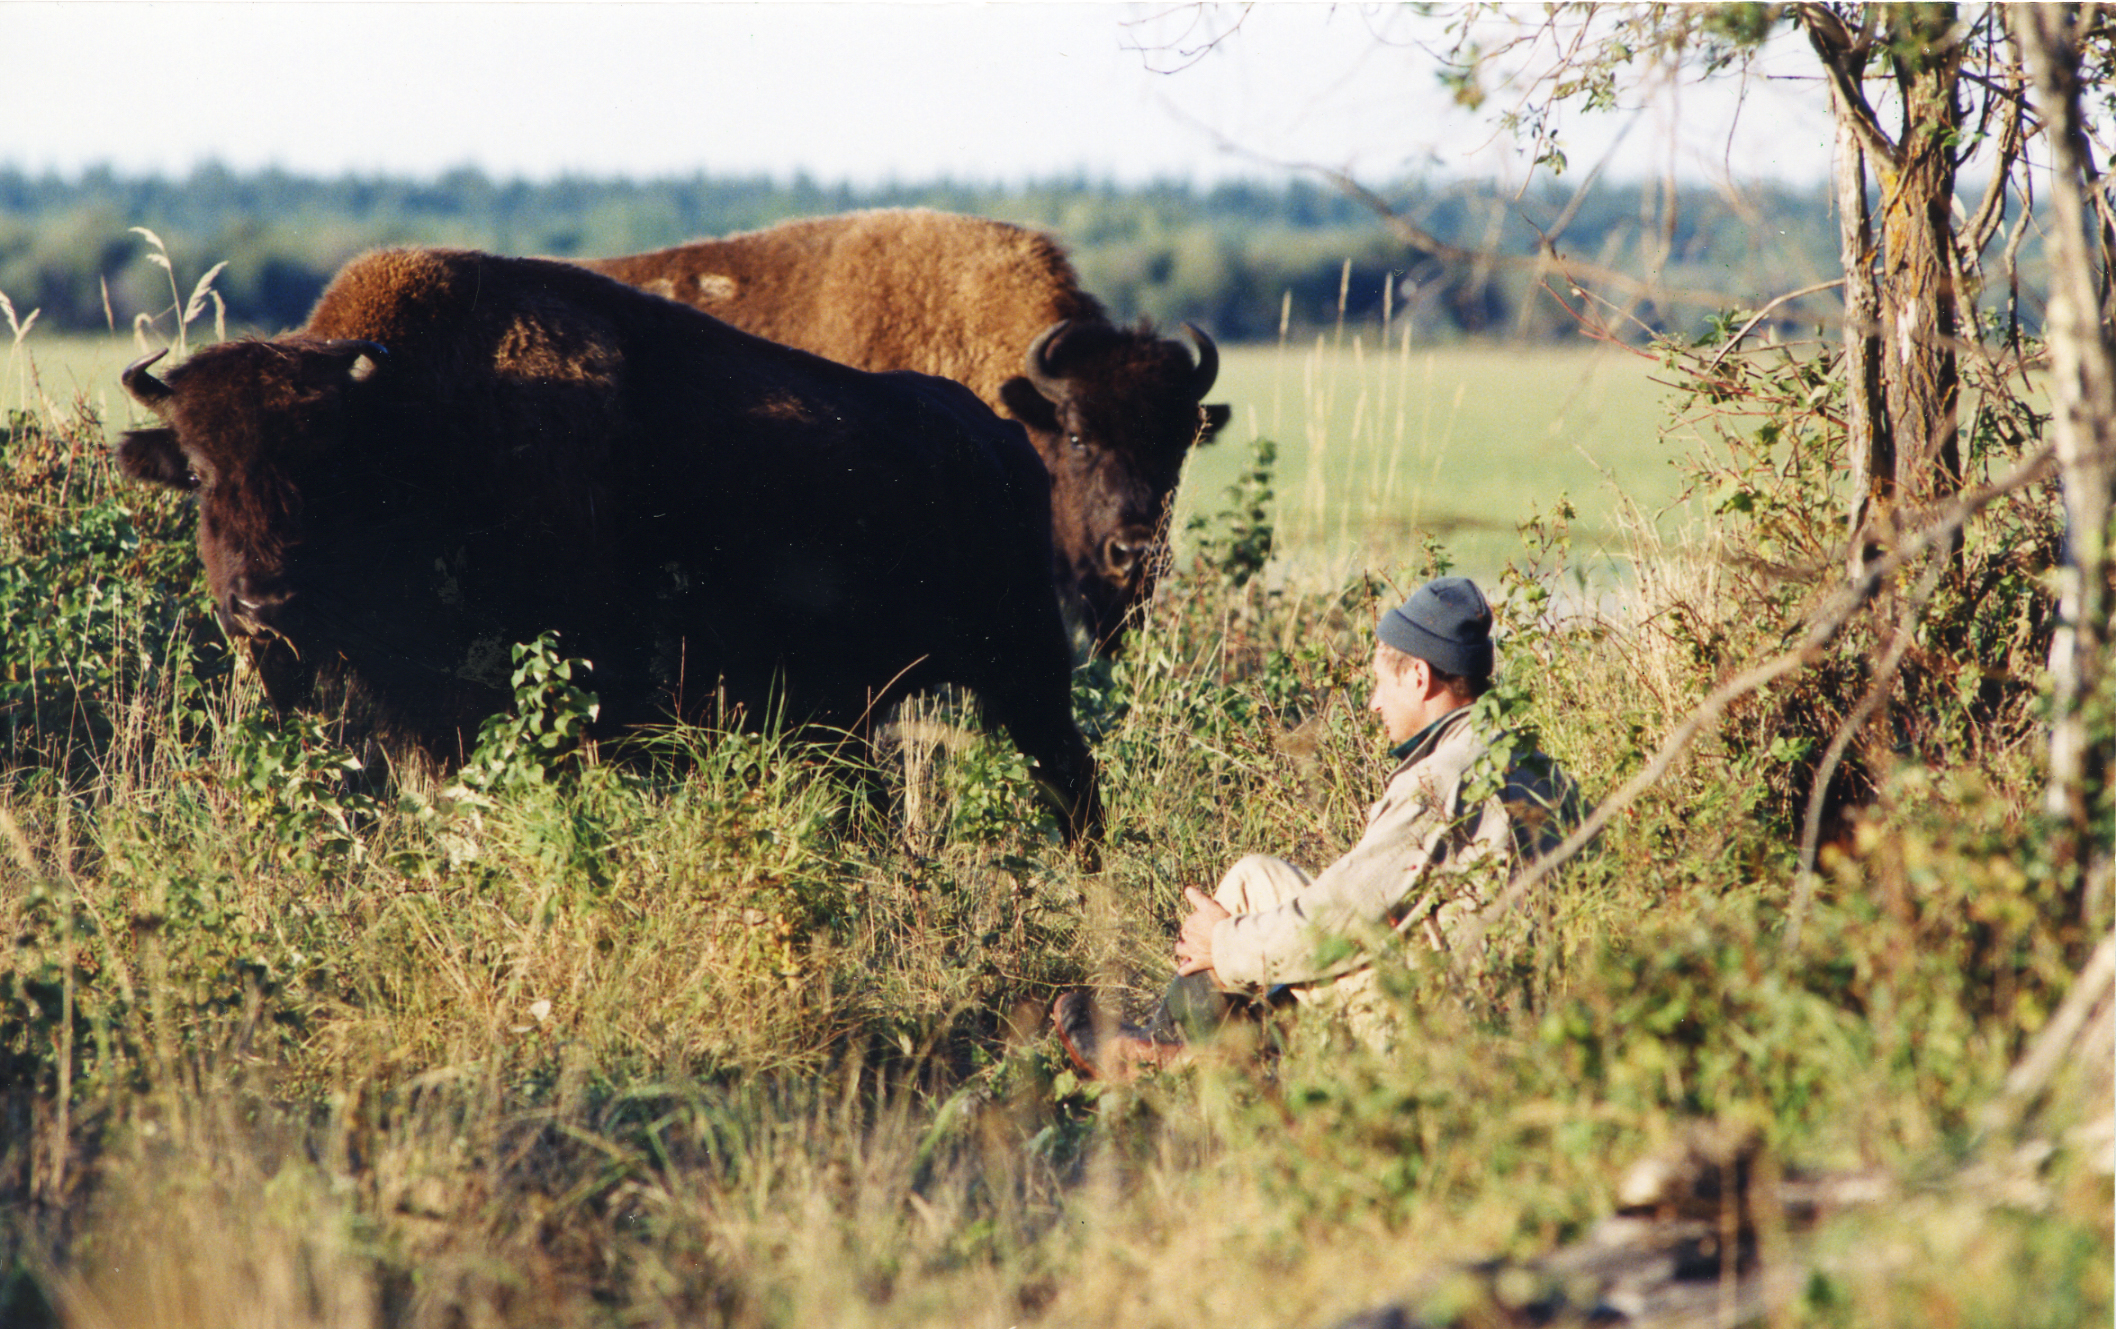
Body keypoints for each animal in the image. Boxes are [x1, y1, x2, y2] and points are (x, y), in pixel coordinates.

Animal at [115, 246, 1100, 842]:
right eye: (197, 470)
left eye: (327, 464)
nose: (261, 604)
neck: (420, 432)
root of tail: (1001, 438)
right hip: (851, 711)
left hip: (1025, 668)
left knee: (1069, 779)